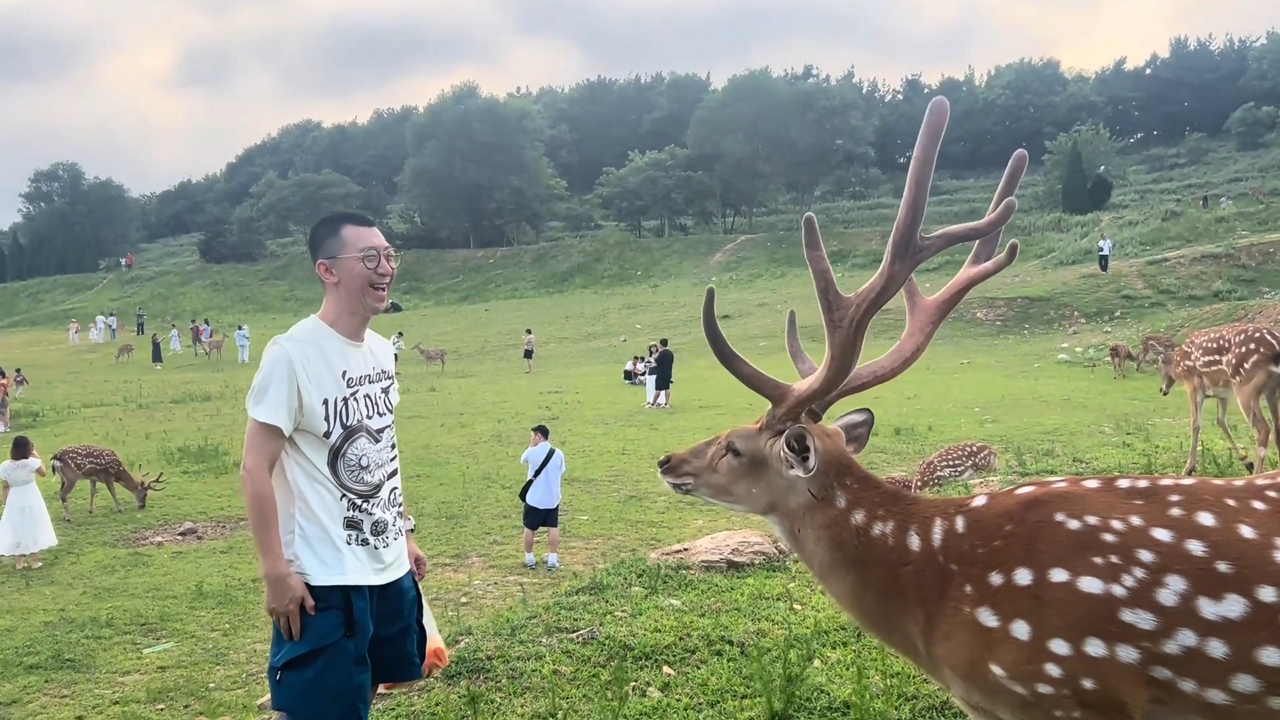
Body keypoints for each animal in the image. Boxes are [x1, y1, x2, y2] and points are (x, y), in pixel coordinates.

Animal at [1157, 323, 1280, 477]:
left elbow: (1195, 423)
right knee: (1276, 429)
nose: (1162, 390)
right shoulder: (1221, 393)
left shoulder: (1192, 384)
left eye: (1159, 366)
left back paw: (1256, 475)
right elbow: (1220, 420)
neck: (1178, 366)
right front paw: (1246, 462)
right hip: (1271, 391)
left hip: (1245, 386)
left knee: (1263, 429)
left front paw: (1188, 469)